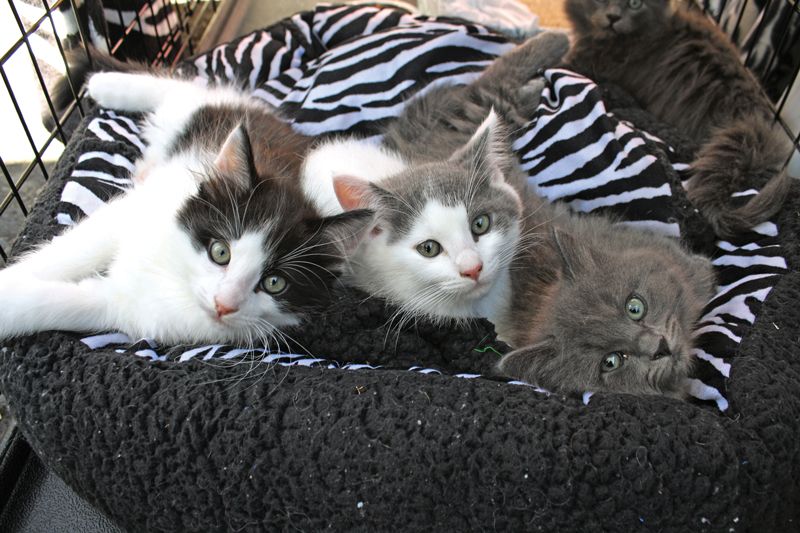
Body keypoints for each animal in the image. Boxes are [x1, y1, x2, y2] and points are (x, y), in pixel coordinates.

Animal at [0, 71, 368, 344]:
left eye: (275, 283)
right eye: (220, 252)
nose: (224, 305)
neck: (177, 267)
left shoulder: (135, 308)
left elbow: (61, 304)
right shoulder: (139, 207)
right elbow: (74, 251)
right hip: (207, 114)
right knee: (184, 89)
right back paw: (105, 83)